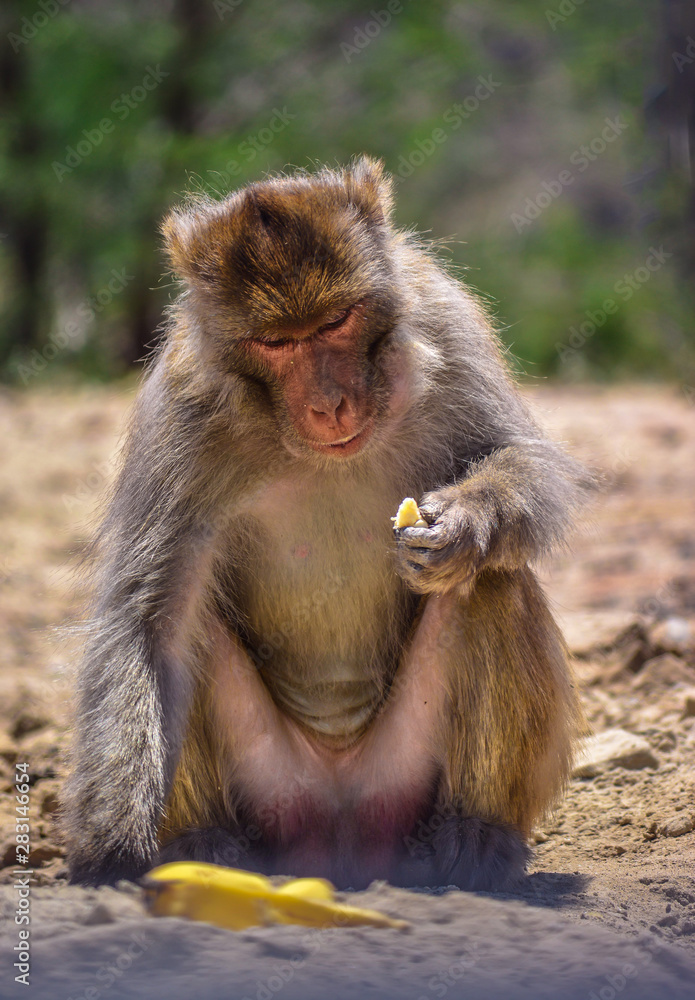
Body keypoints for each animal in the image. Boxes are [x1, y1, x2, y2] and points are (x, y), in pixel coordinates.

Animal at [62, 156, 588, 892]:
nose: (329, 405)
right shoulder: (180, 405)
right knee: (189, 625)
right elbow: (146, 618)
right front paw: (111, 836)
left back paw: (476, 833)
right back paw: (206, 843)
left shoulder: (444, 320)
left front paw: (464, 523)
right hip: (277, 789)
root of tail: (343, 840)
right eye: (277, 343)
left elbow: (525, 461)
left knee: (491, 581)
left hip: (399, 778)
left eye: (337, 321)